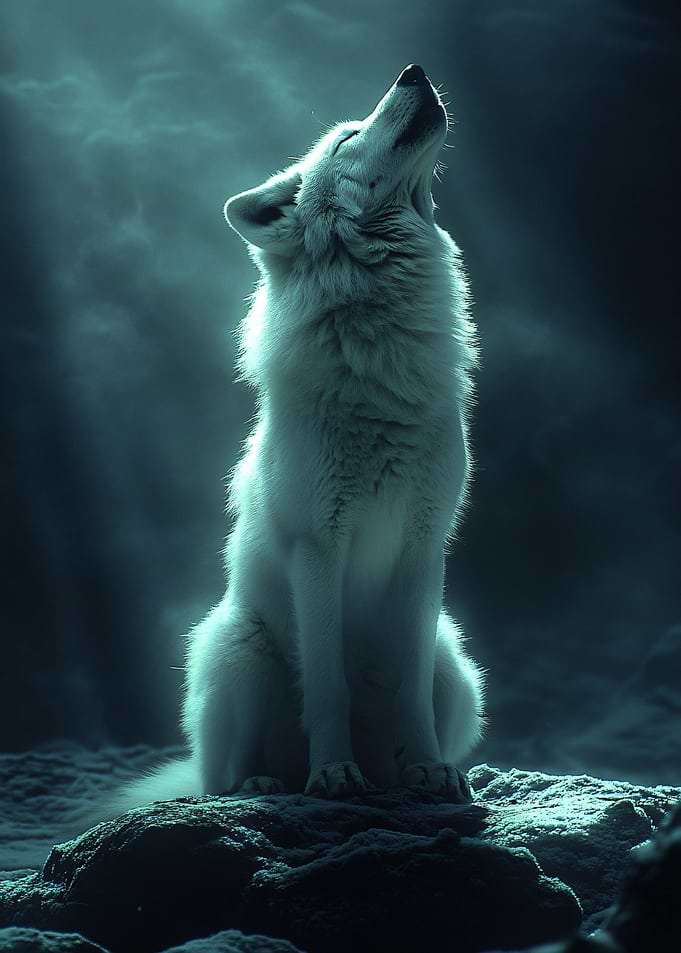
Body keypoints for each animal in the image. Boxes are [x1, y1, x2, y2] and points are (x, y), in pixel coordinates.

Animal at [100, 63, 485, 816]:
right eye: (346, 138)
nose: (413, 71)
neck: (380, 358)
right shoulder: (318, 544)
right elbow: (327, 684)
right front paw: (333, 774)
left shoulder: (425, 545)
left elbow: (411, 697)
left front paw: (430, 772)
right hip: (236, 649)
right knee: (218, 779)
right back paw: (266, 783)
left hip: (453, 661)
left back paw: (395, 774)